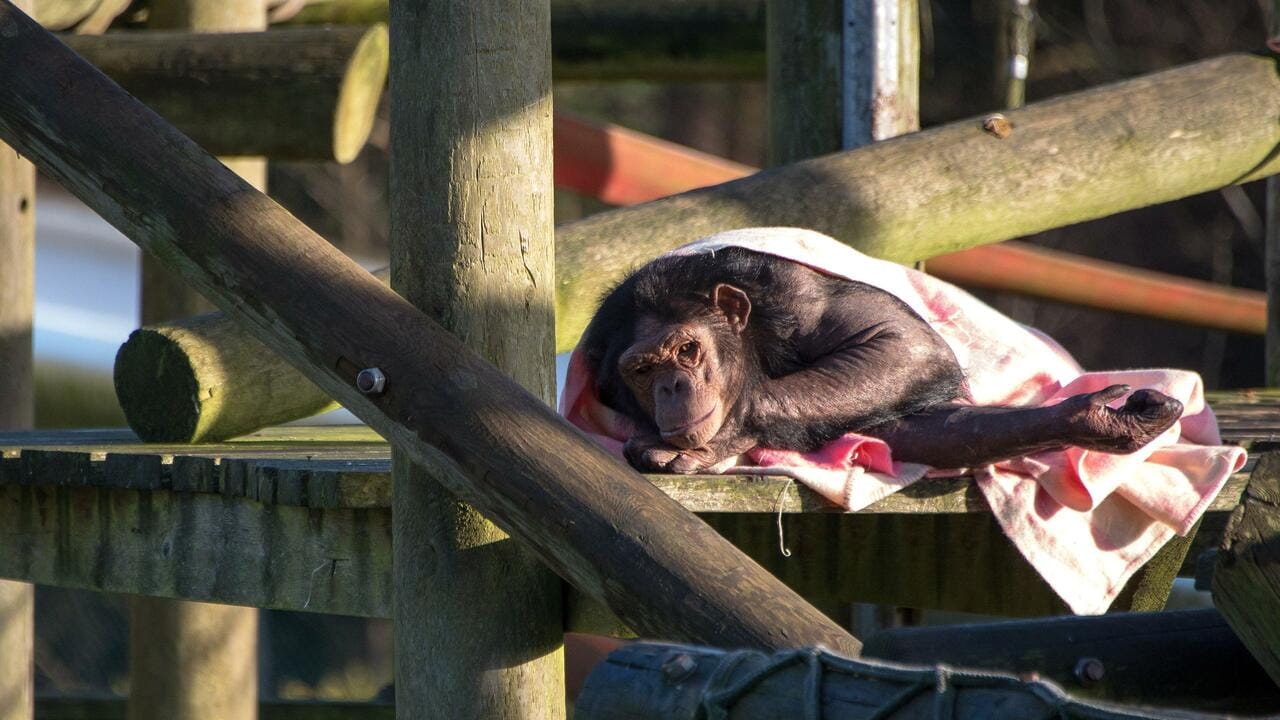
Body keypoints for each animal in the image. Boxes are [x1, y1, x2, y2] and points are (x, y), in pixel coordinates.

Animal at [579, 246, 1186, 474]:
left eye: (687, 350)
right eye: (643, 371)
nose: (672, 388)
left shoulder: (798, 298)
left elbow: (902, 345)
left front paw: (732, 428)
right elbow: (918, 428)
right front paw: (1096, 420)